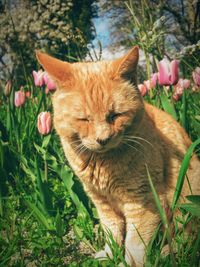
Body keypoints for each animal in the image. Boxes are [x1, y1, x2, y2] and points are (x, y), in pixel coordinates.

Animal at [36, 48, 200, 267]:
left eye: (115, 115)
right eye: (84, 119)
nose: (103, 139)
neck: (103, 163)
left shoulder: (143, 202)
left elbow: (135, 244)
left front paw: (126, 263)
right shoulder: (102, 202)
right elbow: (111, 232)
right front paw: (109, 255)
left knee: (186, 238)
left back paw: (165, 253)